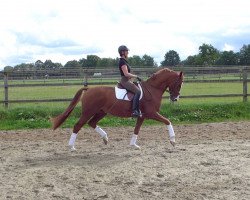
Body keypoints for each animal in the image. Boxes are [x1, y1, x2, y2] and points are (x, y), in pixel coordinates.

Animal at [51, 68, 184, 149]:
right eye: (179, 84)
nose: (175, 98)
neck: (152, 89)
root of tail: (89, 89)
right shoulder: (151, 113)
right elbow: (168, 121)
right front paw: (173, 140)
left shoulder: (142, 116)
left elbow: (137, 129)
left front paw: (133, 145)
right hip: (88, 112)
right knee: (78, 126)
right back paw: (71, 146)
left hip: (101, 112)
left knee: (92, 123)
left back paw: (105, 138)